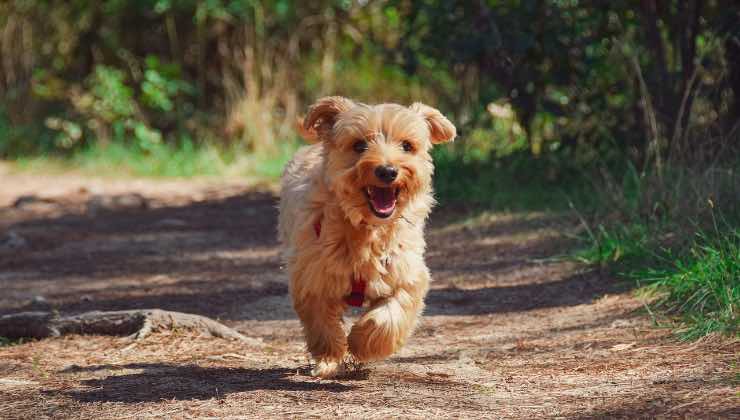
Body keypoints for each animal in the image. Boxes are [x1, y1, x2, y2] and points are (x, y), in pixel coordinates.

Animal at [278, 97, 454, 378]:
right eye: (359, 145)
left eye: (407, 145)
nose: (387, 171)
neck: (367, 228)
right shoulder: (312, 276)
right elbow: (322, 323)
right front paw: (330, 357)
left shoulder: (406, 274)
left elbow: (389, 316)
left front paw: (362, 343)